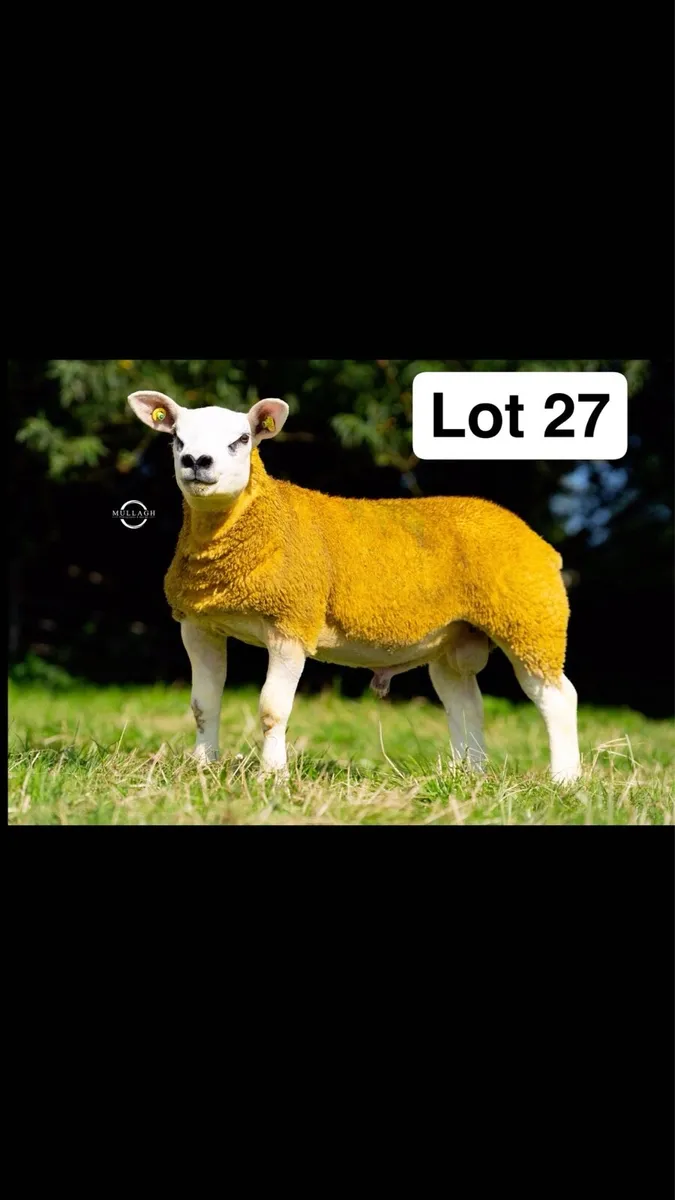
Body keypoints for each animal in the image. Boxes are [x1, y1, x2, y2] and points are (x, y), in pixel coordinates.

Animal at [128, 390, 581, 783]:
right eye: (176, 439)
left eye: (242, 439)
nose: (196, 461)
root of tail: (540, 544)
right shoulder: (198, 624)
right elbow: (203, 705)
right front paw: (202, 769)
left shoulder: (292, 621)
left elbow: (272, 710)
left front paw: (272, 777)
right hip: (455, 638)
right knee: (467, 705)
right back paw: (468, 776)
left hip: (530, 619)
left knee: (557, 698)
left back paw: (565, 780)